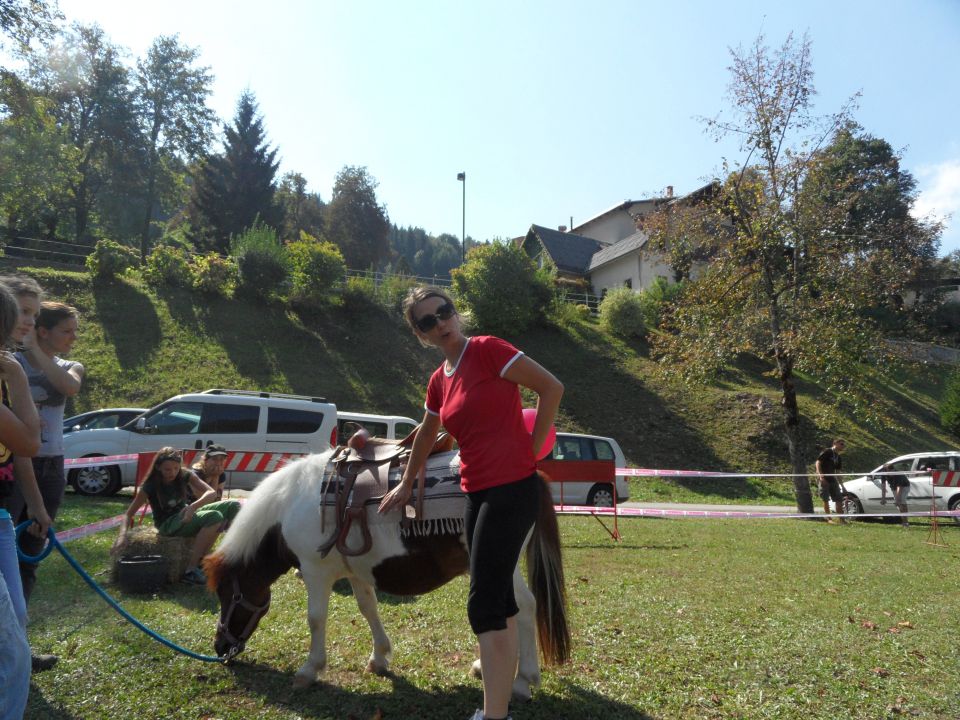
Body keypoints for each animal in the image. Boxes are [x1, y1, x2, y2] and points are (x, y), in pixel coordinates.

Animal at [203, 450, 568, 696]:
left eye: (228, 595)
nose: (221, 647)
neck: (290, 504)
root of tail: (534, 477)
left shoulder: (315, 571)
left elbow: (316, 619)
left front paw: (310, 669)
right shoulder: (356, 571)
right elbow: (368, 608)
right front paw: (379, 658)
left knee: (526, 609)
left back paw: (523, 680)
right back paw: (486, 667)